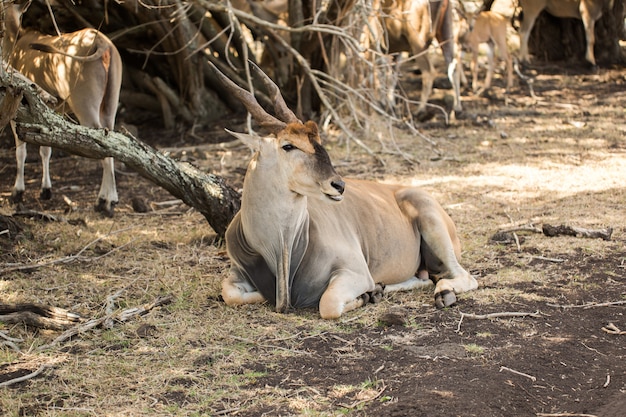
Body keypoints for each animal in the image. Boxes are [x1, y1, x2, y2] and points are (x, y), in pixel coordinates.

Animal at [2, 3, 122, 216]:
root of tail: (102, 43)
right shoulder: (51, 111)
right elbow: (46, 149)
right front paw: (45, 190)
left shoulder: (17, 108)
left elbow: (21, 151)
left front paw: (17, 192)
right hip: (110, 106)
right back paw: (110, 199)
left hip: (85, 106)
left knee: (102, 143)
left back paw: (104, 202)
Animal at [212, 62, 476, 318]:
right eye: (288, 146)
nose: (338, 185)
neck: (282, 247)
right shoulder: (237, 275)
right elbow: (229, 293)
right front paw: (371, 293)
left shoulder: (355, 273)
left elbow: (327, 304)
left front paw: (363, 297)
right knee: (425, 278)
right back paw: (381, 289)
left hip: (434, 228)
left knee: (462, 277)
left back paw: (443, 293)